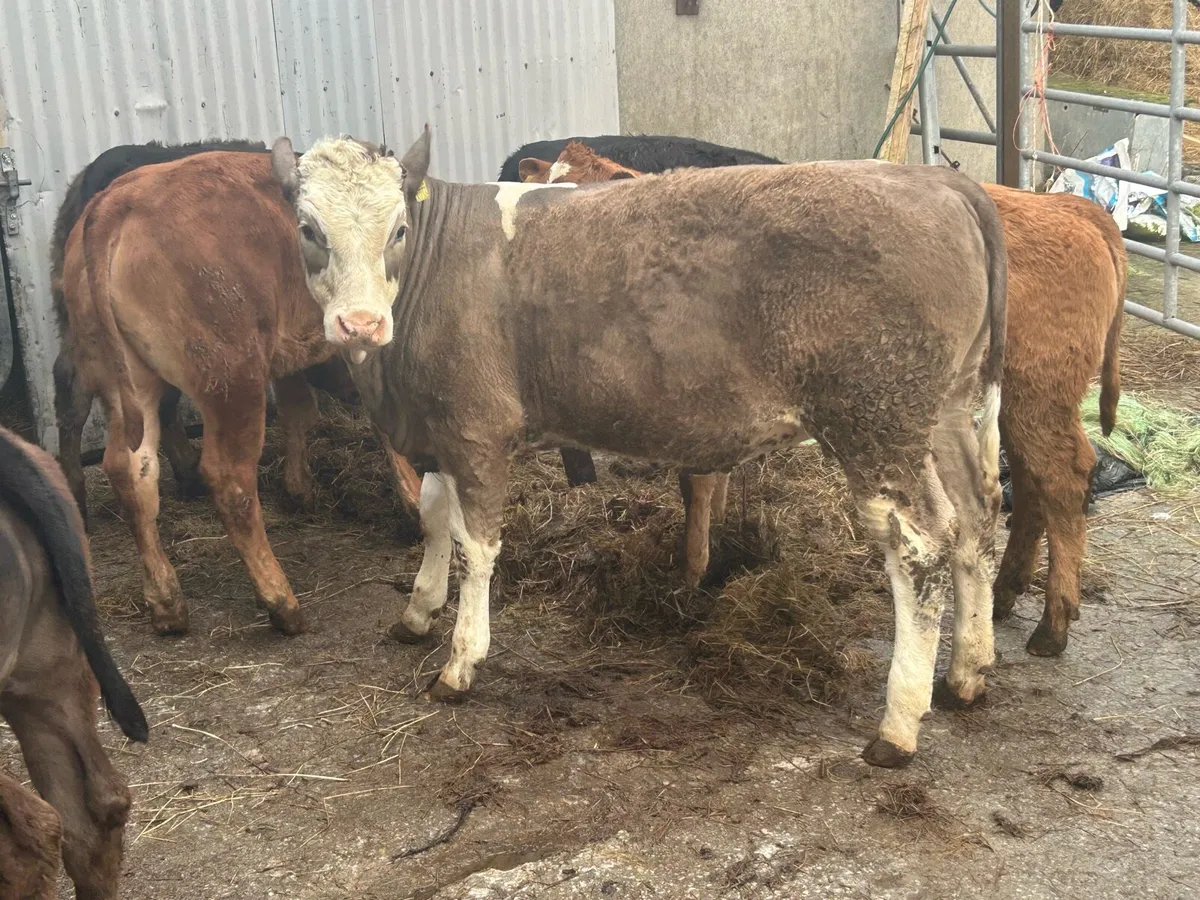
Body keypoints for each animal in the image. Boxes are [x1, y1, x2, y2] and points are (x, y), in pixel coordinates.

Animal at [270, 129, 1007, 767]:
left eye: (397, 228)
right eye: (308, 230)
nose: (360, 322)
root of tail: (939, 182)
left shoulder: (478, 429)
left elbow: (476, 548)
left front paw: (459, 663)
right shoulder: (435, 429)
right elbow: (432, 519)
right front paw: (418, 612)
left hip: (876, 421)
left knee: (919, 549)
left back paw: (898, 725)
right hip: (944, 413)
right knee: (974, 520)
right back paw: (967, 672)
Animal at [529, 141, 1126, 657]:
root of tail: (1071, 209)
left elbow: (693, 487)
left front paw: (691, 573)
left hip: (1035, 396)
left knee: (1064, 477)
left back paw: (1053, 622)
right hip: (1015, 405)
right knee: (1027, 483)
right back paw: (1005, 593)